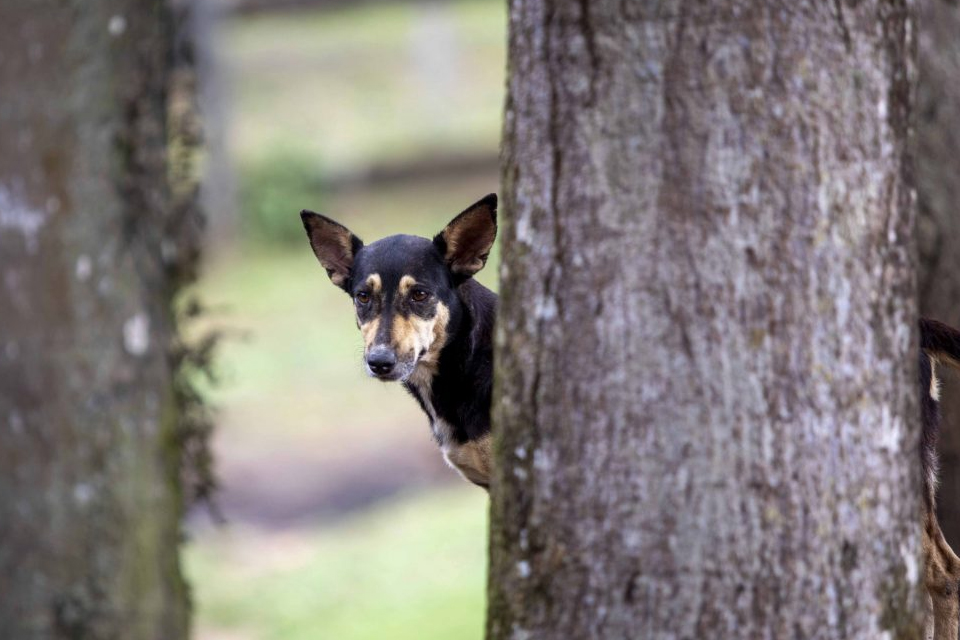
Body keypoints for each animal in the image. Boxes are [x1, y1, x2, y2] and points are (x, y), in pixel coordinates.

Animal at [304, 196, 960, 636]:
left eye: (419, 295)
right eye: (363, 297)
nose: (380, 362)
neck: (469, 352)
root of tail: (910, 322)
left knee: (942, 573)